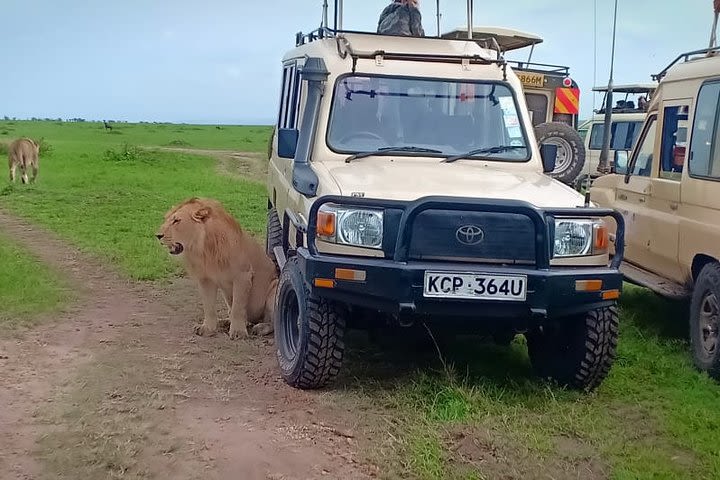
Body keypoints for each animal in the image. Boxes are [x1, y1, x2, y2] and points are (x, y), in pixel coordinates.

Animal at [156, 197, 278, 340]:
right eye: (166, 219)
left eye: (176, 220)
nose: (157, 235)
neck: (205, 248)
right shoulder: (205, 279)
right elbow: (209, 307)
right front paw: (207, 328)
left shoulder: (243, 276)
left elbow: (238, 308)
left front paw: (238, 332)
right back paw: (225, 321)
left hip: (275, 288)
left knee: (273, 322)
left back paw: (260, 327)